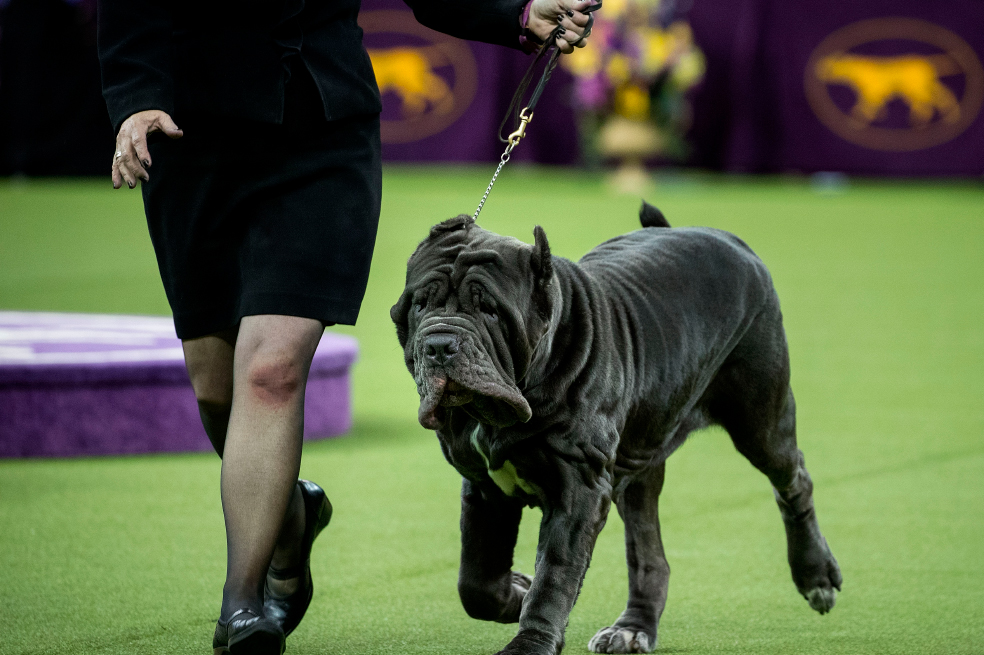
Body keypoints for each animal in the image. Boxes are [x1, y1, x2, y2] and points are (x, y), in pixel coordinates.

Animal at [388, 202, 840, 652]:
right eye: (420, 305)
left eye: (490, 309)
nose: (439, 345)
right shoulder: (484, 486)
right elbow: (476, 580)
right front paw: (517, 591)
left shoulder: (579, 489)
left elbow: (555, 574)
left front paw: (531, 641)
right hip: (639, 461)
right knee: (649, 553)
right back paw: (632, 628)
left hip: (760, 420)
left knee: (793, 477)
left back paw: (816, 576)